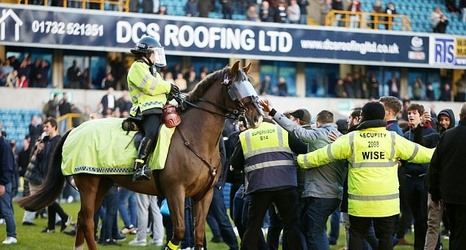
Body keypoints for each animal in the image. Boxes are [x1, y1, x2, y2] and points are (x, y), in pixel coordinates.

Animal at [18, 61, 264, 250]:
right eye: (237, 86)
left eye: (250, 84)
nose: (258, 116)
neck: (195, 138)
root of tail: (75, 130)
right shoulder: (176, 191)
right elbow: (179, 232)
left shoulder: (205, 195)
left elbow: (199, 236)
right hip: (88, 183)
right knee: (87, 221)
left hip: (103, 183)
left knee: (82, 219)